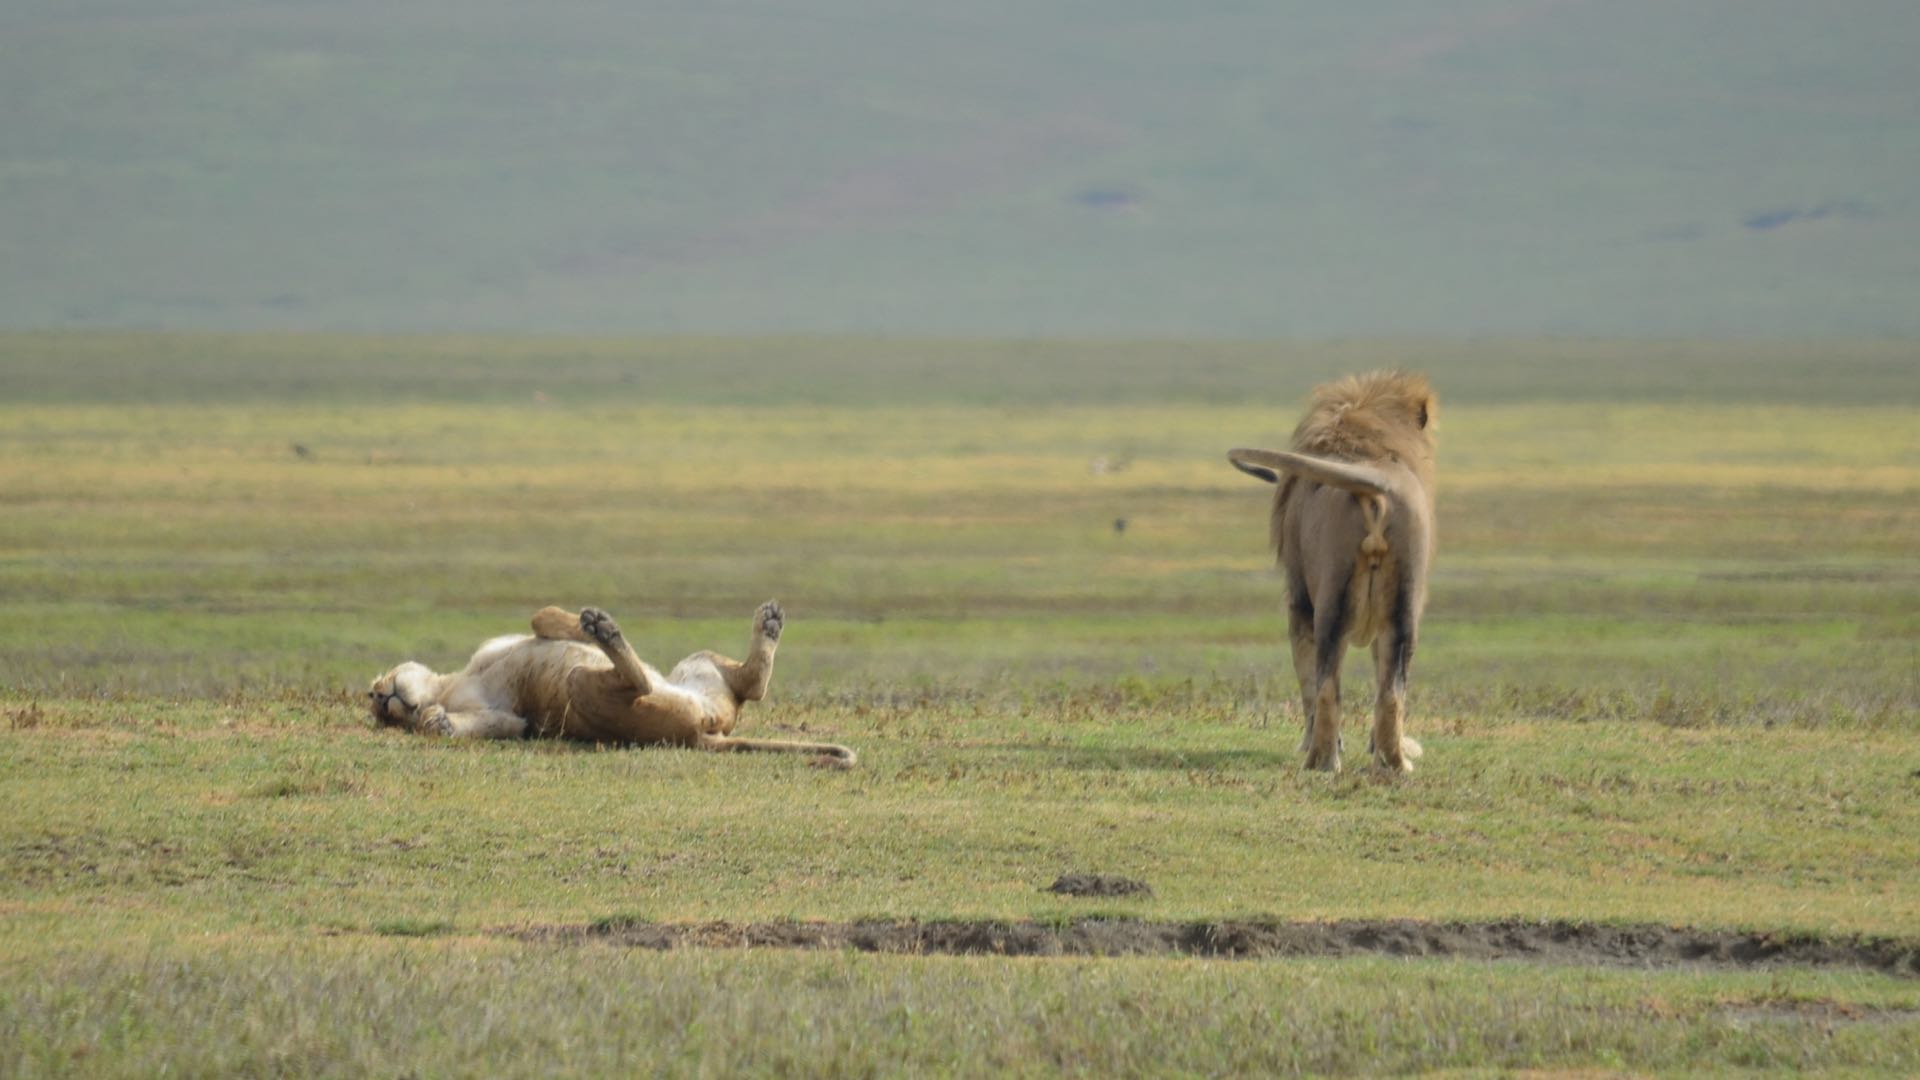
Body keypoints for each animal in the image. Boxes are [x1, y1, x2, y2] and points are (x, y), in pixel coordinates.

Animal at [370, 595, 852, 764]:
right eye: (386, 721)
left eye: (376, 700)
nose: (378, 700)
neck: (448, 688)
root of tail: (701, 734)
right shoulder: (518, 720)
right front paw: (436, 722)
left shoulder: (500, 666)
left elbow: (542, 616)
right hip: (582, 682)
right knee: (643, 684)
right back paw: (606, 631)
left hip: (697, 667)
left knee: (749, 685)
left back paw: (769, 623)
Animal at [1236, 372, 1436, 772]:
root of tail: (1377, 487)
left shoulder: (1298, 600)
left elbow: (1307, 681)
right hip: (1404, 608)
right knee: (1391, 692)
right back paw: (1395, 764)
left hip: (1330, 599)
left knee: (1327, 685)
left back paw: (1321, 760)